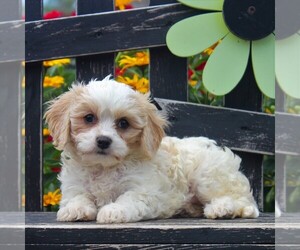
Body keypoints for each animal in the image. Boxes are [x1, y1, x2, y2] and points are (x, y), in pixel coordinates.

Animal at [45, 76, 260, 223]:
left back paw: (222, 208)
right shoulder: (74, 185)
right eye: (89, 118)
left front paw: (114, 210)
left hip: (207, 177)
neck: (104, 168)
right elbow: (76, 197)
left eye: (123, 123)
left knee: (244, 202)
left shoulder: (145, 190)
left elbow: (128, 198)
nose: (103, 141)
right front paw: (75, 209)